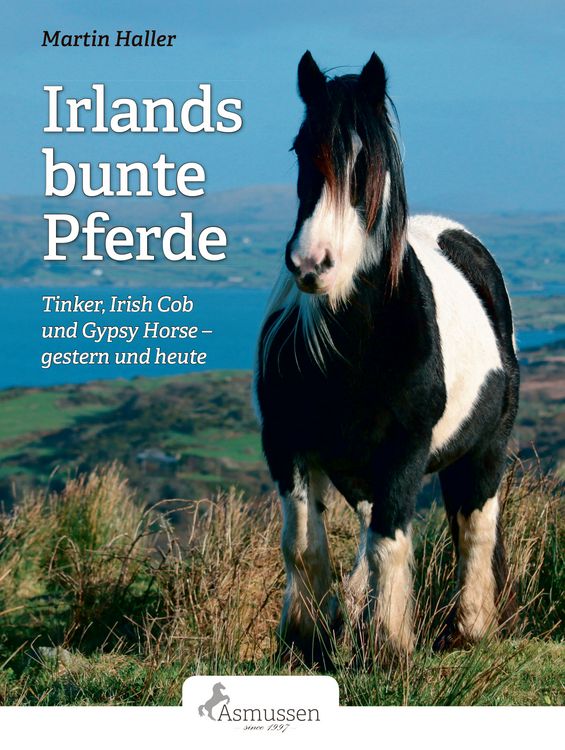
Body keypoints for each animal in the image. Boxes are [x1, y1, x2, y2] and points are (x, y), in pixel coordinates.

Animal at [255, 51, 519, 668]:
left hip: (484, 452)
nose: (313, 263)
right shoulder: (286, 441)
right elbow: (303, 545)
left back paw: (469, 628)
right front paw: (307, 641)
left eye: (366, 162)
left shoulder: (404, 448)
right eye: (300, 148)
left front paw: (388, 646)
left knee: (475, 529)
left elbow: (391, 545)